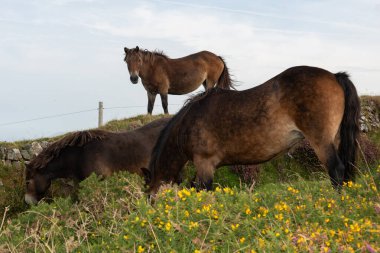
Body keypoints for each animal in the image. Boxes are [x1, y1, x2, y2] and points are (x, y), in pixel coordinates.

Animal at [144, 66, 360, 193]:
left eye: (151, 197)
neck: (188, 122)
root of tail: (334, 76)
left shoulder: (204, 164)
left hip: (321, 141)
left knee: (336, 170)